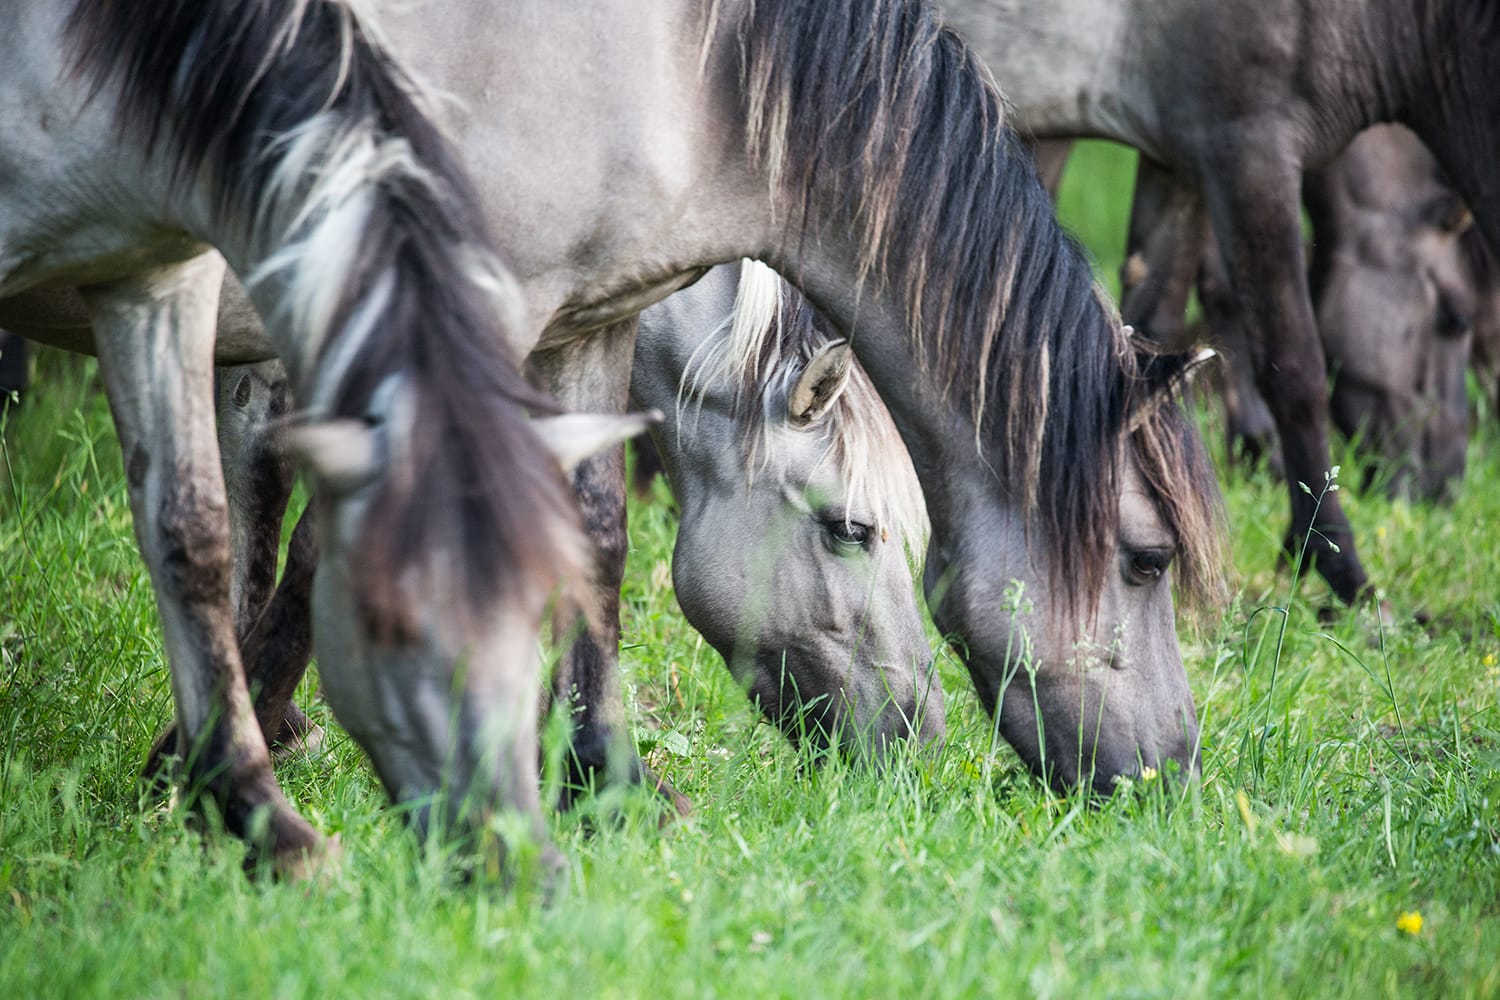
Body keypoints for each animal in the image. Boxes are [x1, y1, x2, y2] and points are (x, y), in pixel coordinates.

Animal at [0, 0, 600, 875]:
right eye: (389, 625)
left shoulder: (149, 276)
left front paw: (256, 814)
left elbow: (190, 534)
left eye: (537, 615)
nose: (512, 855)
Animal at [942, 0, 1500, 602]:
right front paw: (1337, 566)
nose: (1444, 487)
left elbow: (1151, 324)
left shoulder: (1175, 162)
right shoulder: (1248, 152)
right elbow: (1295, 374)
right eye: (1454, 317)